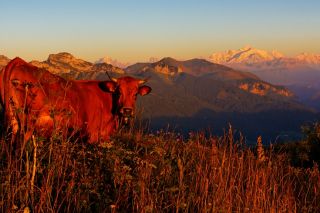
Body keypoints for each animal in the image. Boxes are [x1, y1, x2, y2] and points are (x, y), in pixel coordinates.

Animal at [0, 57, 151, 143]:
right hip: (27, 124)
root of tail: (17, 61)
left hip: (13, 123)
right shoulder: (93, 136)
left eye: (135, 94)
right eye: (119, 92)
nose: (127, 110)